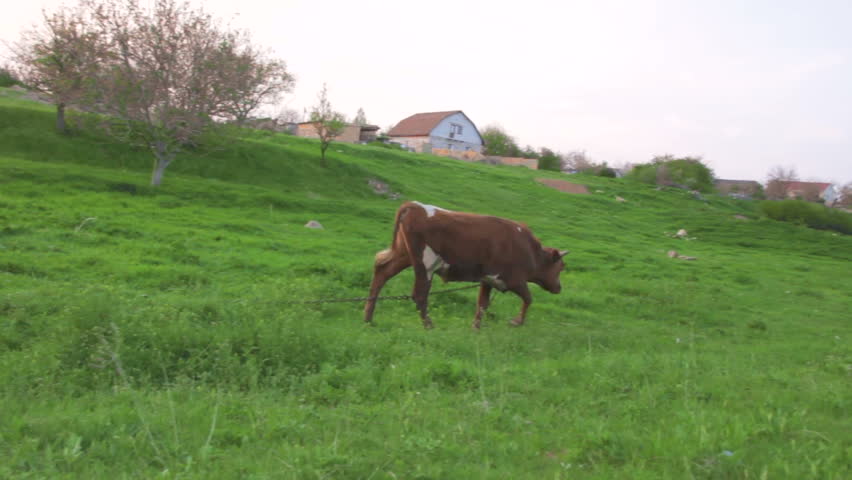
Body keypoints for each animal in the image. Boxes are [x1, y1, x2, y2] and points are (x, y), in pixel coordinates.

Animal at [364, 201, 568, 329]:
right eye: (561, 267)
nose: (559, 287)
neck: (529, 249)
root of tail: (415, 206)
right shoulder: (515, 280)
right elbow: (528, 298)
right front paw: (516, 322)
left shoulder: (488, 279)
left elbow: (482, 304)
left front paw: (476, 328)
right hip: (425, 264)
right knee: (419, 295)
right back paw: (429, 325)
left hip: (403, 255)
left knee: (382, 272)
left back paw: (368, 318)